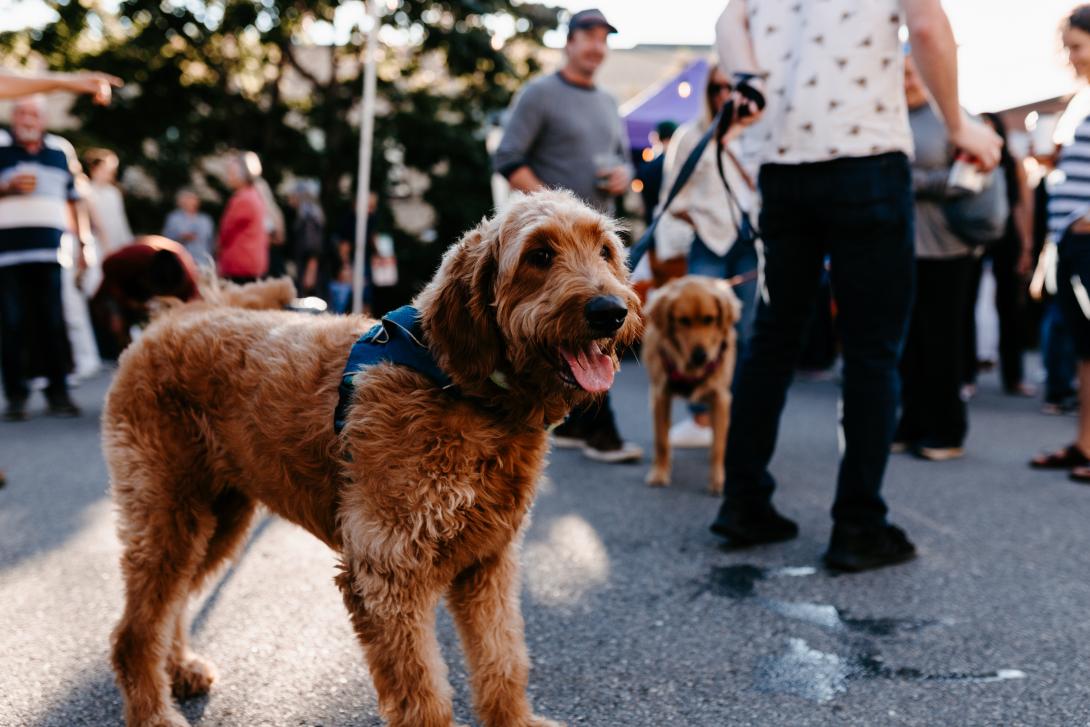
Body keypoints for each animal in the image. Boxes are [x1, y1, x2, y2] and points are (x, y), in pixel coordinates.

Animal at [102, 190, 636, 727]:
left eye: (605, 251)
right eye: (539, 255)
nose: (610, 310)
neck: (460, 388)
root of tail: (173, 318)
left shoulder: (487, 562)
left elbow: (502, 658)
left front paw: (514, 720)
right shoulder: (388, 573)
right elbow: (423, 694)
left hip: (219, 517)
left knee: (173, 604)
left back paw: (180, 668)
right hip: (168, 511)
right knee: (133, 631)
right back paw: (154, 713)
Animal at [636, 275, 741, 497]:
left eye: (710, 319)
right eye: (683, 321)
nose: (700, 355)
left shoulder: (720, 398)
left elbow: (718, 446)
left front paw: (718, 479)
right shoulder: (660, 394)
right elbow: (661, 440)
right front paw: (659, 472)